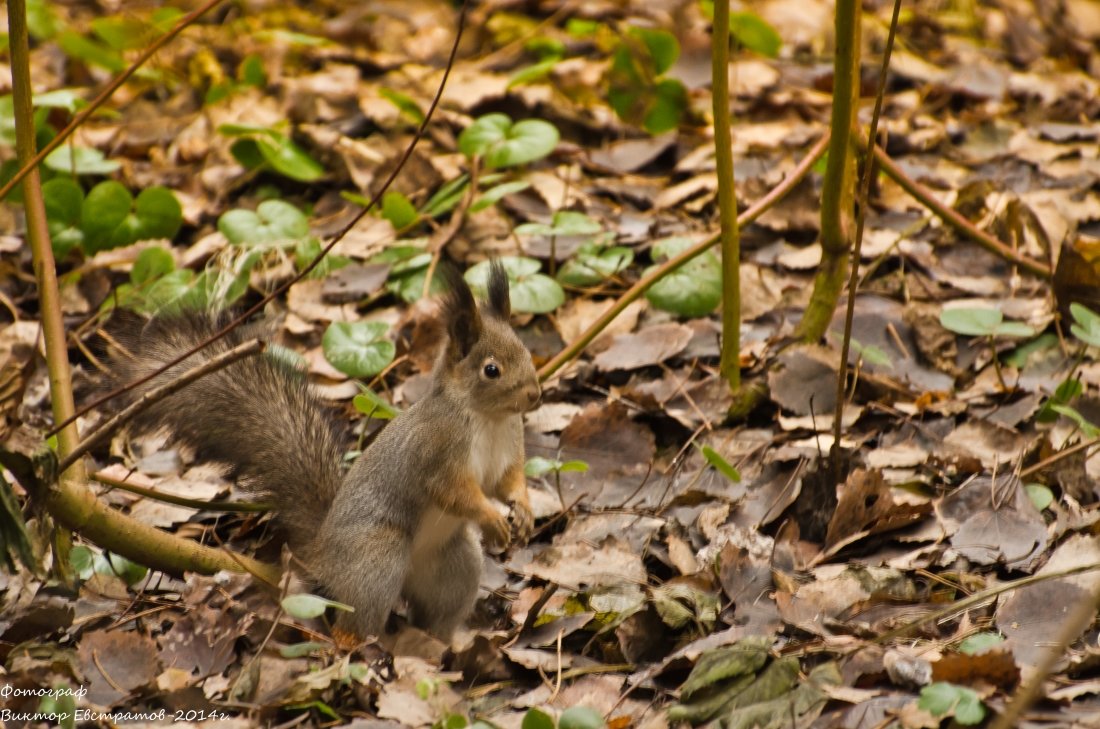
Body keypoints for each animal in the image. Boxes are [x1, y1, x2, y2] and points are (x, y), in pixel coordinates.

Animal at [108, 262, 541, 637]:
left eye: (526, 350)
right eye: (491, 370)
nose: (535, 396)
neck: (487, 418)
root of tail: (321, 559)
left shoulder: (508, 448)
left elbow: (507, 481)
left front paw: (523, 510)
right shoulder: (436, 451)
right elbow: (454, 491)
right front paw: (492, 517)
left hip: (454, 564)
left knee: (435, 612)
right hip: (378, 558)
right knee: (355, 620)